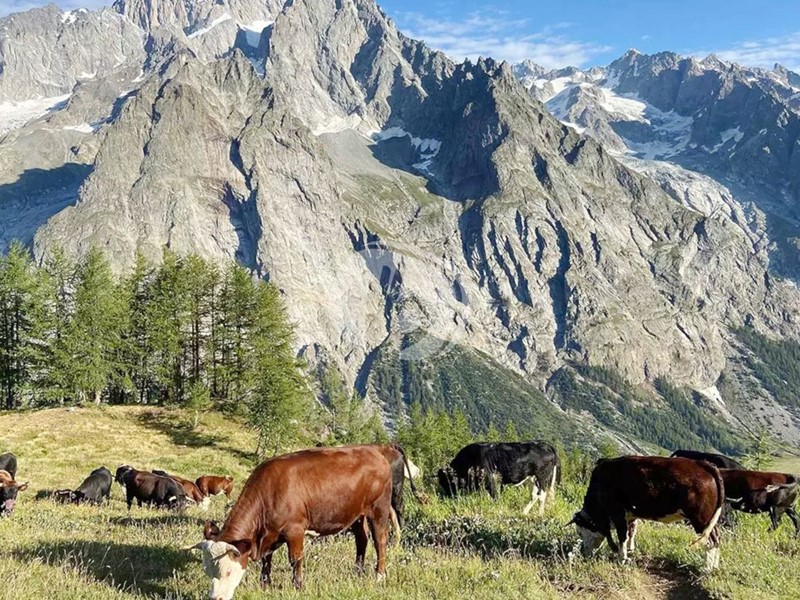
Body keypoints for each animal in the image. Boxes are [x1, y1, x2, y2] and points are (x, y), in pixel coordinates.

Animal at [185, 445, 396, 599]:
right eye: (207, 571)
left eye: (228, 571)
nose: (215, 598)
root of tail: (375, 449)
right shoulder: (269, 535)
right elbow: (266, 560)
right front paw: (265, 584)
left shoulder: (295, 530)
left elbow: (295, 560)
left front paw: (299, 587)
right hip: (356, 514)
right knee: (362, 539)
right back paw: (358, 572)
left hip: (379, 509)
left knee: (380, 541)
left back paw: (379, 576)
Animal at [569, 456, 724, 570]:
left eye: (580, 532)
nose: (584, 552)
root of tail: (702, 464)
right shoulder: (630, 515)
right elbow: (631, 531)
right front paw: (630, 550)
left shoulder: (617, 512)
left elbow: (622, 535)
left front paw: (621, 558)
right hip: (710, 519)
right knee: (716, 538)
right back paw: (714, 567)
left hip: (701, 519)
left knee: (711, 541)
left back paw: (707, 568)